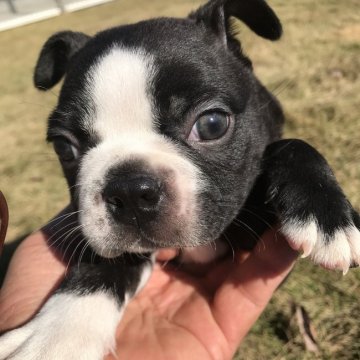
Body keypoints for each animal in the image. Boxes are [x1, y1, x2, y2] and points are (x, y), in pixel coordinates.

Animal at [0, 0, 360, 358]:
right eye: (64, 147)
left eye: (212, 124)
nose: (130, 191)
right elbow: (102, 263)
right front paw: (54, 336)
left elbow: (289, 147)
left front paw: (326, 213)